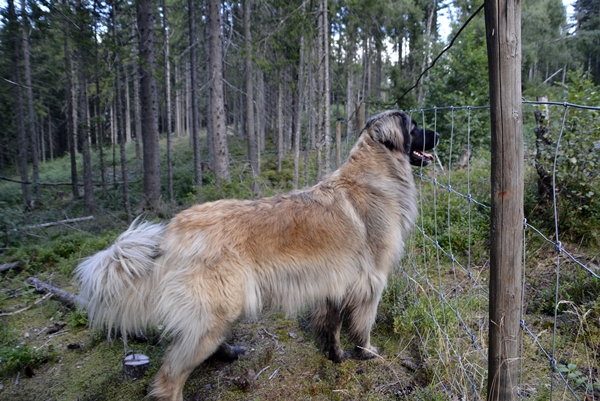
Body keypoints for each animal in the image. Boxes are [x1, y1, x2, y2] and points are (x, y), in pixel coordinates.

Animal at [75, 110, 440, 400]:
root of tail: (172, 230)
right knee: (170, 376)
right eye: (414, 126)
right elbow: (362, 326)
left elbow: (331, 326)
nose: (437, 134)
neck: (373, 175)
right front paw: (367, 354)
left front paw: (334, 356)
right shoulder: (371, 281)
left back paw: (227, 352)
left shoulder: (335, 283)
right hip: (218, 306)